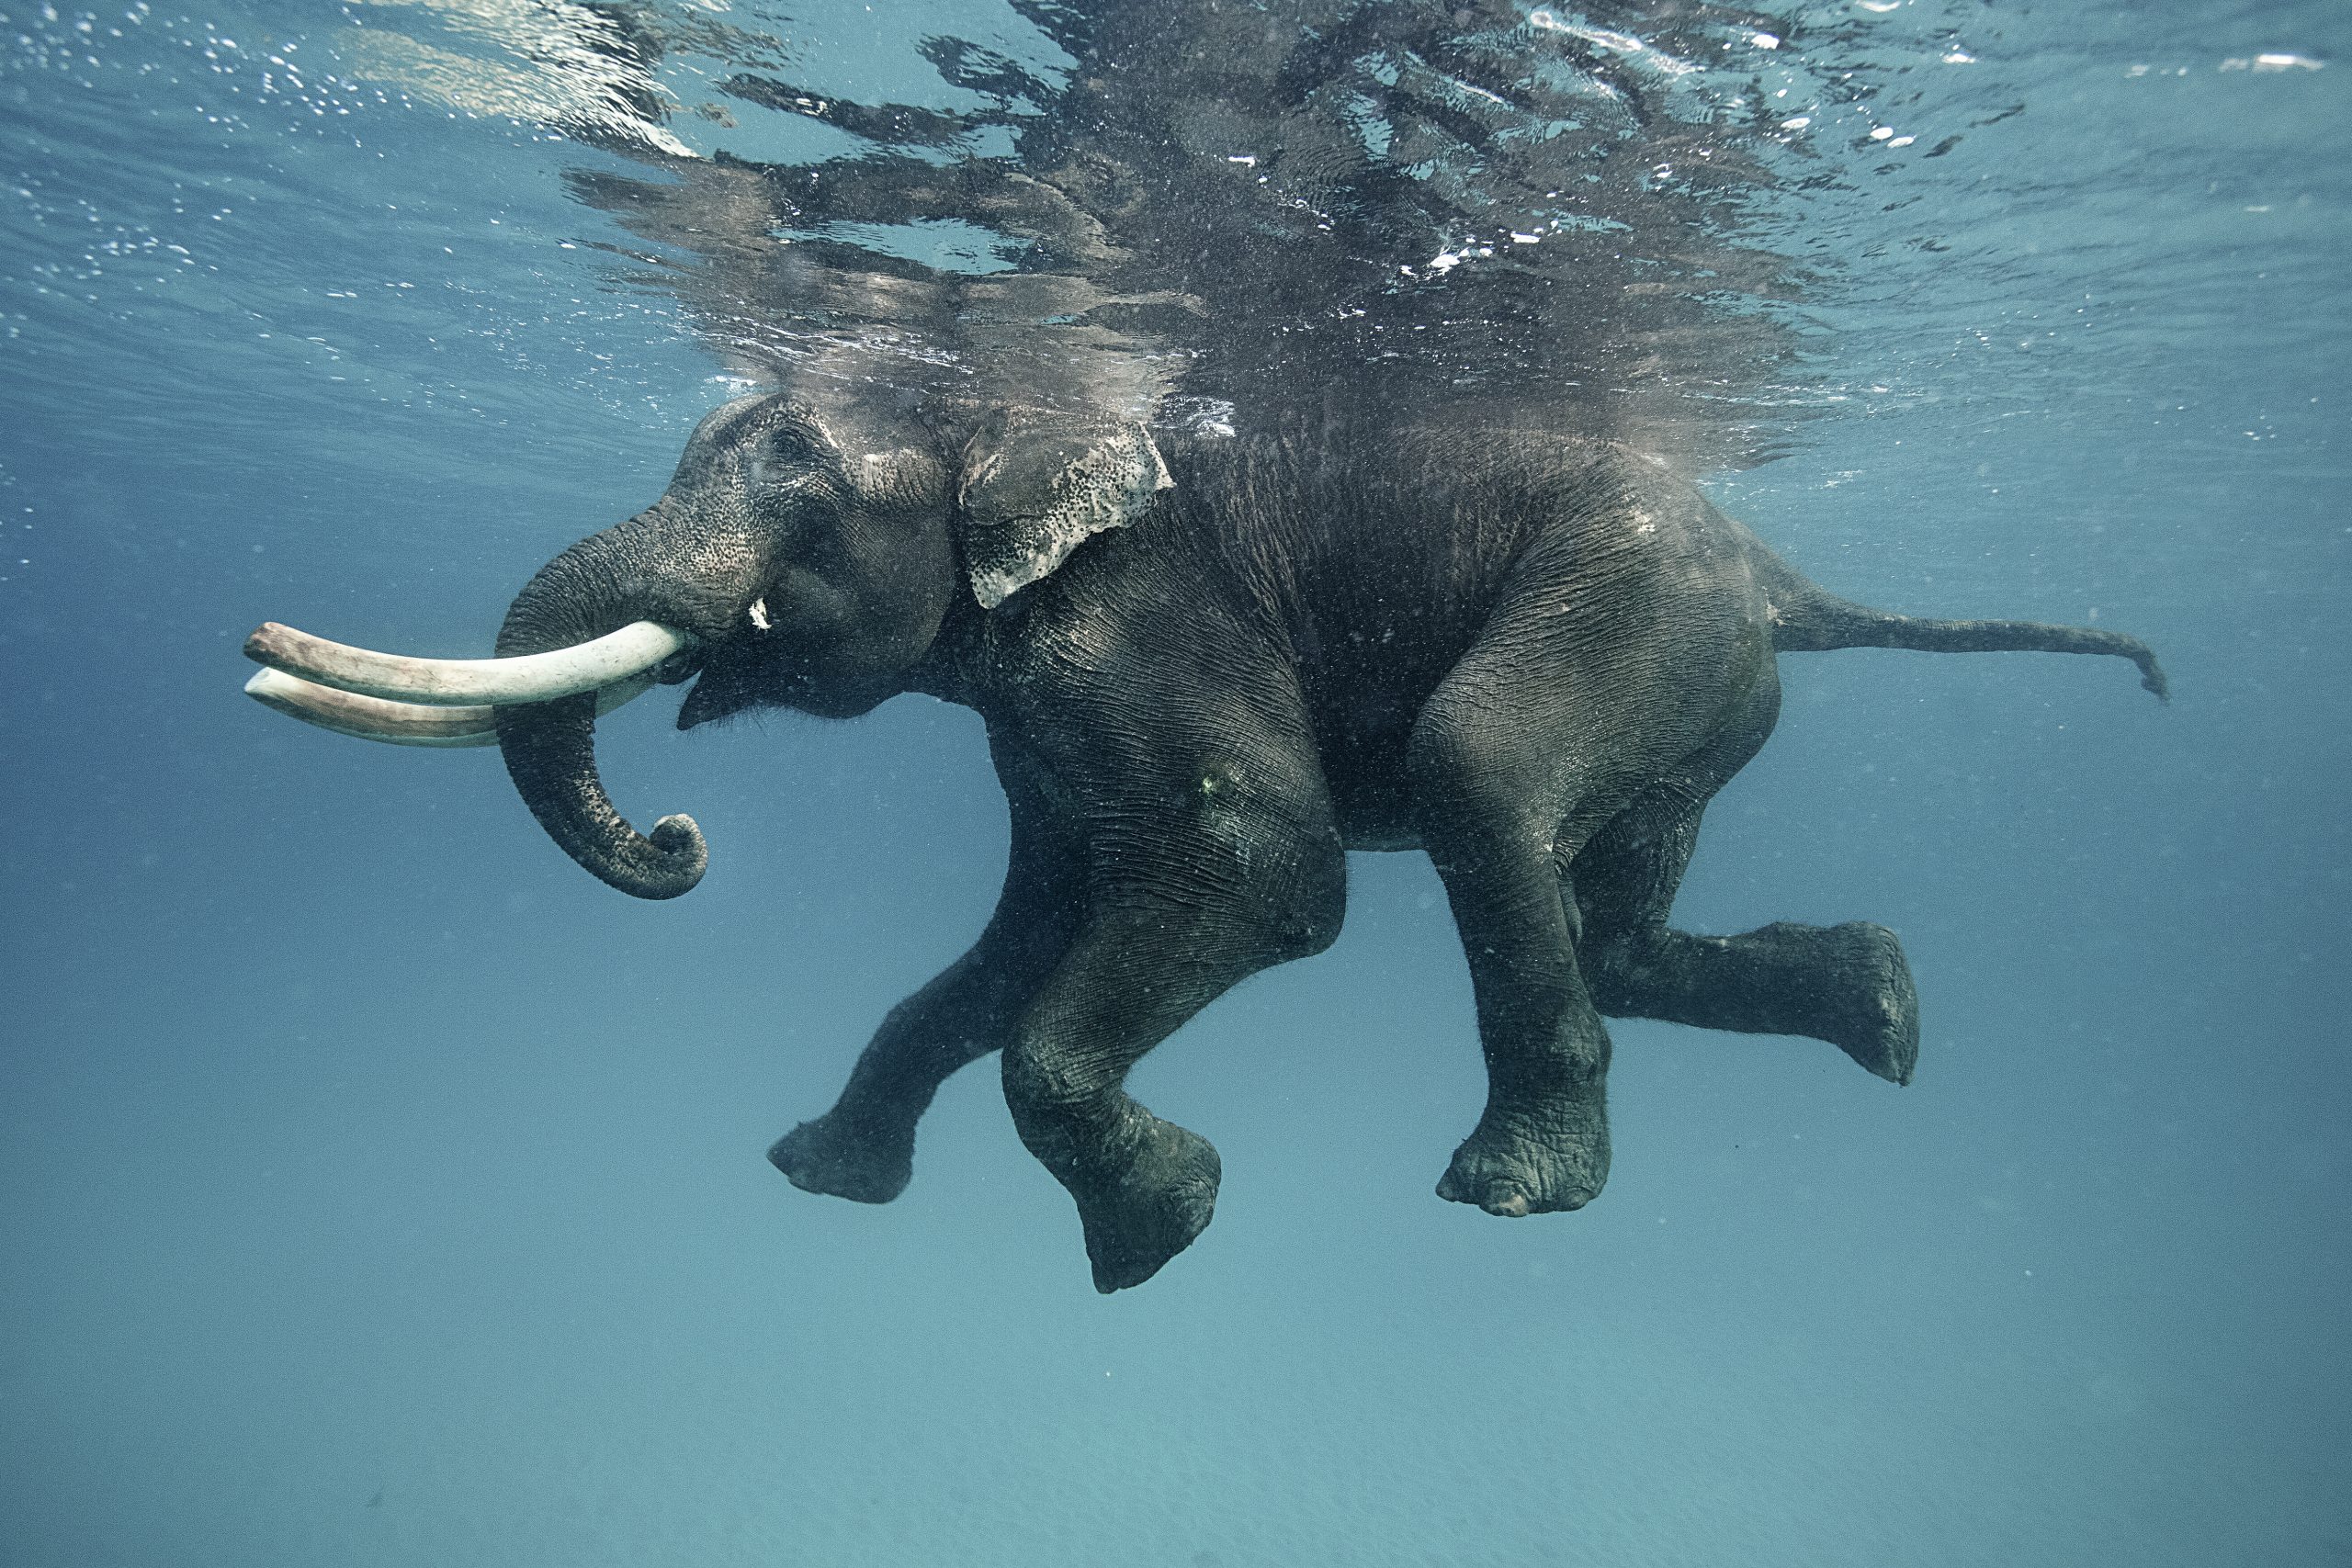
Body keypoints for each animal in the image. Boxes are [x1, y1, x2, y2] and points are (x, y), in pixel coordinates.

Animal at [243, 389, 2164, 1288]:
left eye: (801, 484)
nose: (675, 832)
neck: (1010, 414)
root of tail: (1782, 572)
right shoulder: (1037, 714)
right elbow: (1017, 938)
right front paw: (820, 1175)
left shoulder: (1146, 624)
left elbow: (1265, 876)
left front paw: (1156, 1231)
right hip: (1700, 687)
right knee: (1607, 918)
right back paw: (1889, 1008)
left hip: (1639, 617)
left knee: (1481, 778)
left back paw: (1515, 1185)